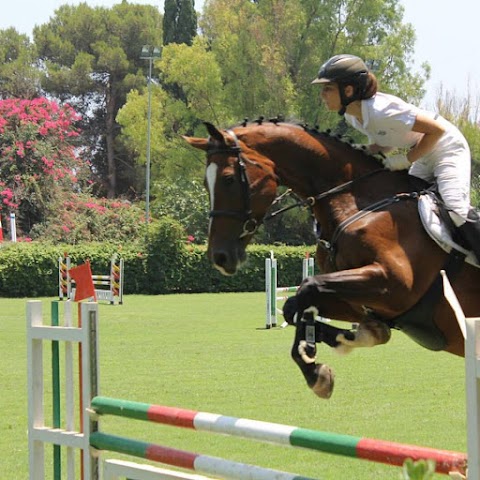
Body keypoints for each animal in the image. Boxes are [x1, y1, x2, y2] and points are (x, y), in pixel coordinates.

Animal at [182, 119, 478, 398]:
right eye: (205, 183)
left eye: (229, 179)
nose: (219, 257)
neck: (356, 204)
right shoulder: (360, 301)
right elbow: (294, 306)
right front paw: (323, 359)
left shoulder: (394, 284)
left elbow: (308, 286)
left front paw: (320, 364)